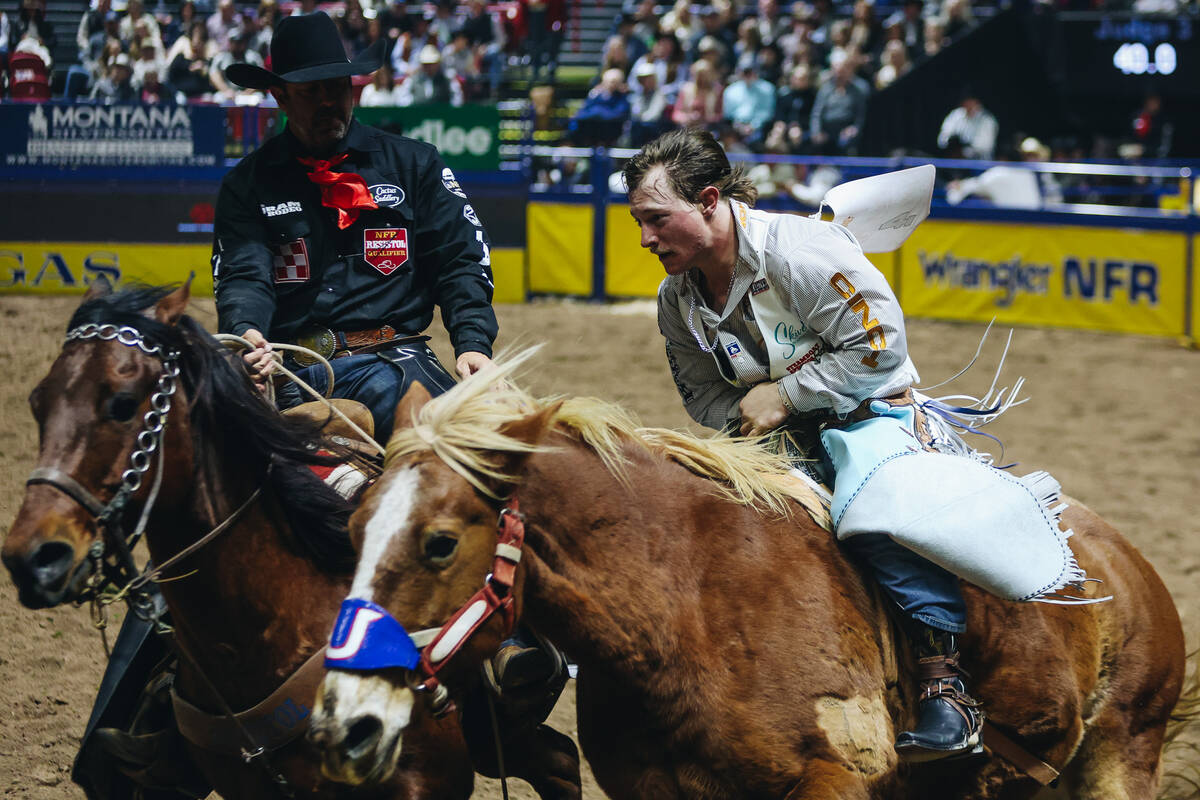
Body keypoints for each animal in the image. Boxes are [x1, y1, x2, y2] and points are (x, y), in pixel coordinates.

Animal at [309, 357, 1190, 800]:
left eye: (439, 543)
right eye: (350, 529)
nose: (342, 726)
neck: (687, 605)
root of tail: (1118, 562)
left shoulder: (834, 783)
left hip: (1120, 757)